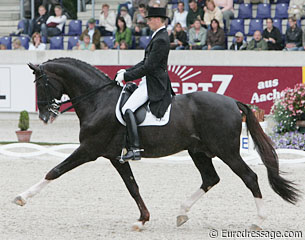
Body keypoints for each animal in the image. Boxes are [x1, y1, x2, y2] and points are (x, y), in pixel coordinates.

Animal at [13, 57, 298, 231]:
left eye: (42, 84)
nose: (45, 116)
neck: (98, 100)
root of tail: (232, 101)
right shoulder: (115, 156)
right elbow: (133, 187)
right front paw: (142, 220)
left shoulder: (89, 150)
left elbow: (55, 171)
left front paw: (21, 197)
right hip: (198, 151)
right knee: (210, 178)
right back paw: (182, 213)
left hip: (226, 151)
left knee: (249, 177)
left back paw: (258, 222)